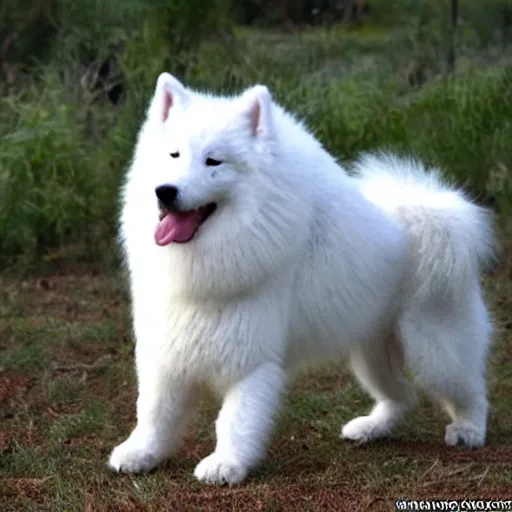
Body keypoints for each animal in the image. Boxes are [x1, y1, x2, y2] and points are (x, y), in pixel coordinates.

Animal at [109, 72, 496, 484]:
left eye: (214, 161)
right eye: (174, 155)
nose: (165, 192)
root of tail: (426, 216)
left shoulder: (252, 359)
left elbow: (235, 420)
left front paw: (226, 464)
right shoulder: (168, 348)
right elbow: (154, 413)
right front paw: (140, 453)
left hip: (435, 351)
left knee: (469, 391)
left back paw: (469, 430)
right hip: (371, 352)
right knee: (402, 396)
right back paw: (370, 428)